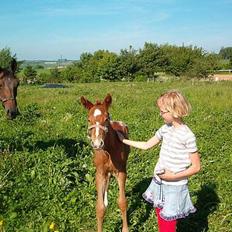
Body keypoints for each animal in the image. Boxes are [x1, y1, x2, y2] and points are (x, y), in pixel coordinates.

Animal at [80, 93, 130, 231]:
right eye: (88, 119)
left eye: (106, 118)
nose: (97, 144)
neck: (109, 151)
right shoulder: (99, 173)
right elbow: (100, 208)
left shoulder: (121, 172)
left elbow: (122, 202)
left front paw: (125, 229)